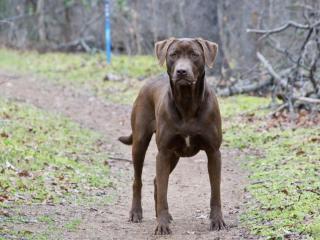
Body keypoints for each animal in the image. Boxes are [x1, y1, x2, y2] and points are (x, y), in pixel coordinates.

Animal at [117, 37, 225, 234]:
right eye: (173, 54)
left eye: (194, 55)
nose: (181, 71)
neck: (187, 102)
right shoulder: (163, 152)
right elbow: (163, 192)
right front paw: (162, 224)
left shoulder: (214, 153)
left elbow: (216, 192)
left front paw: (217, 221)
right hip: (141, 143)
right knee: (138, 180)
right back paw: (137, 213)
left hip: (174, 155)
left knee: (155, 181)